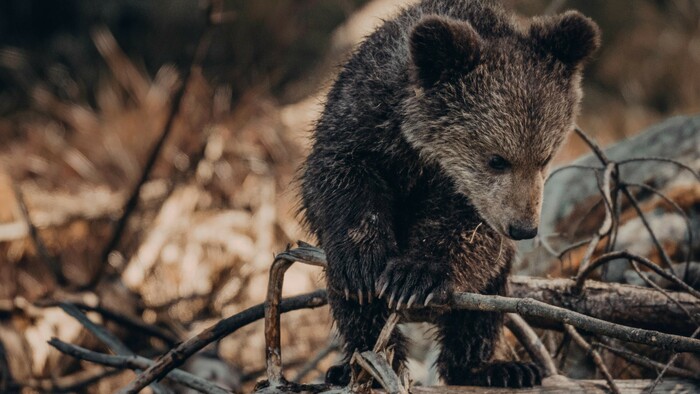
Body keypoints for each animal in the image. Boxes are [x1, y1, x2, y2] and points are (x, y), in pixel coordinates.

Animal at [298, 0, 600, 388]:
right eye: (497, 159)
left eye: (545, 157)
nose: (523, 228)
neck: (425, 151)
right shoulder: (362, 122)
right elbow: (337, 181)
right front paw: (362, 264)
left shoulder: (472, 201)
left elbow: (467, 235)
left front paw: (415, 276)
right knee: (355, 310)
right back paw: (360, 364)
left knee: (482, 306)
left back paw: (495, 368)